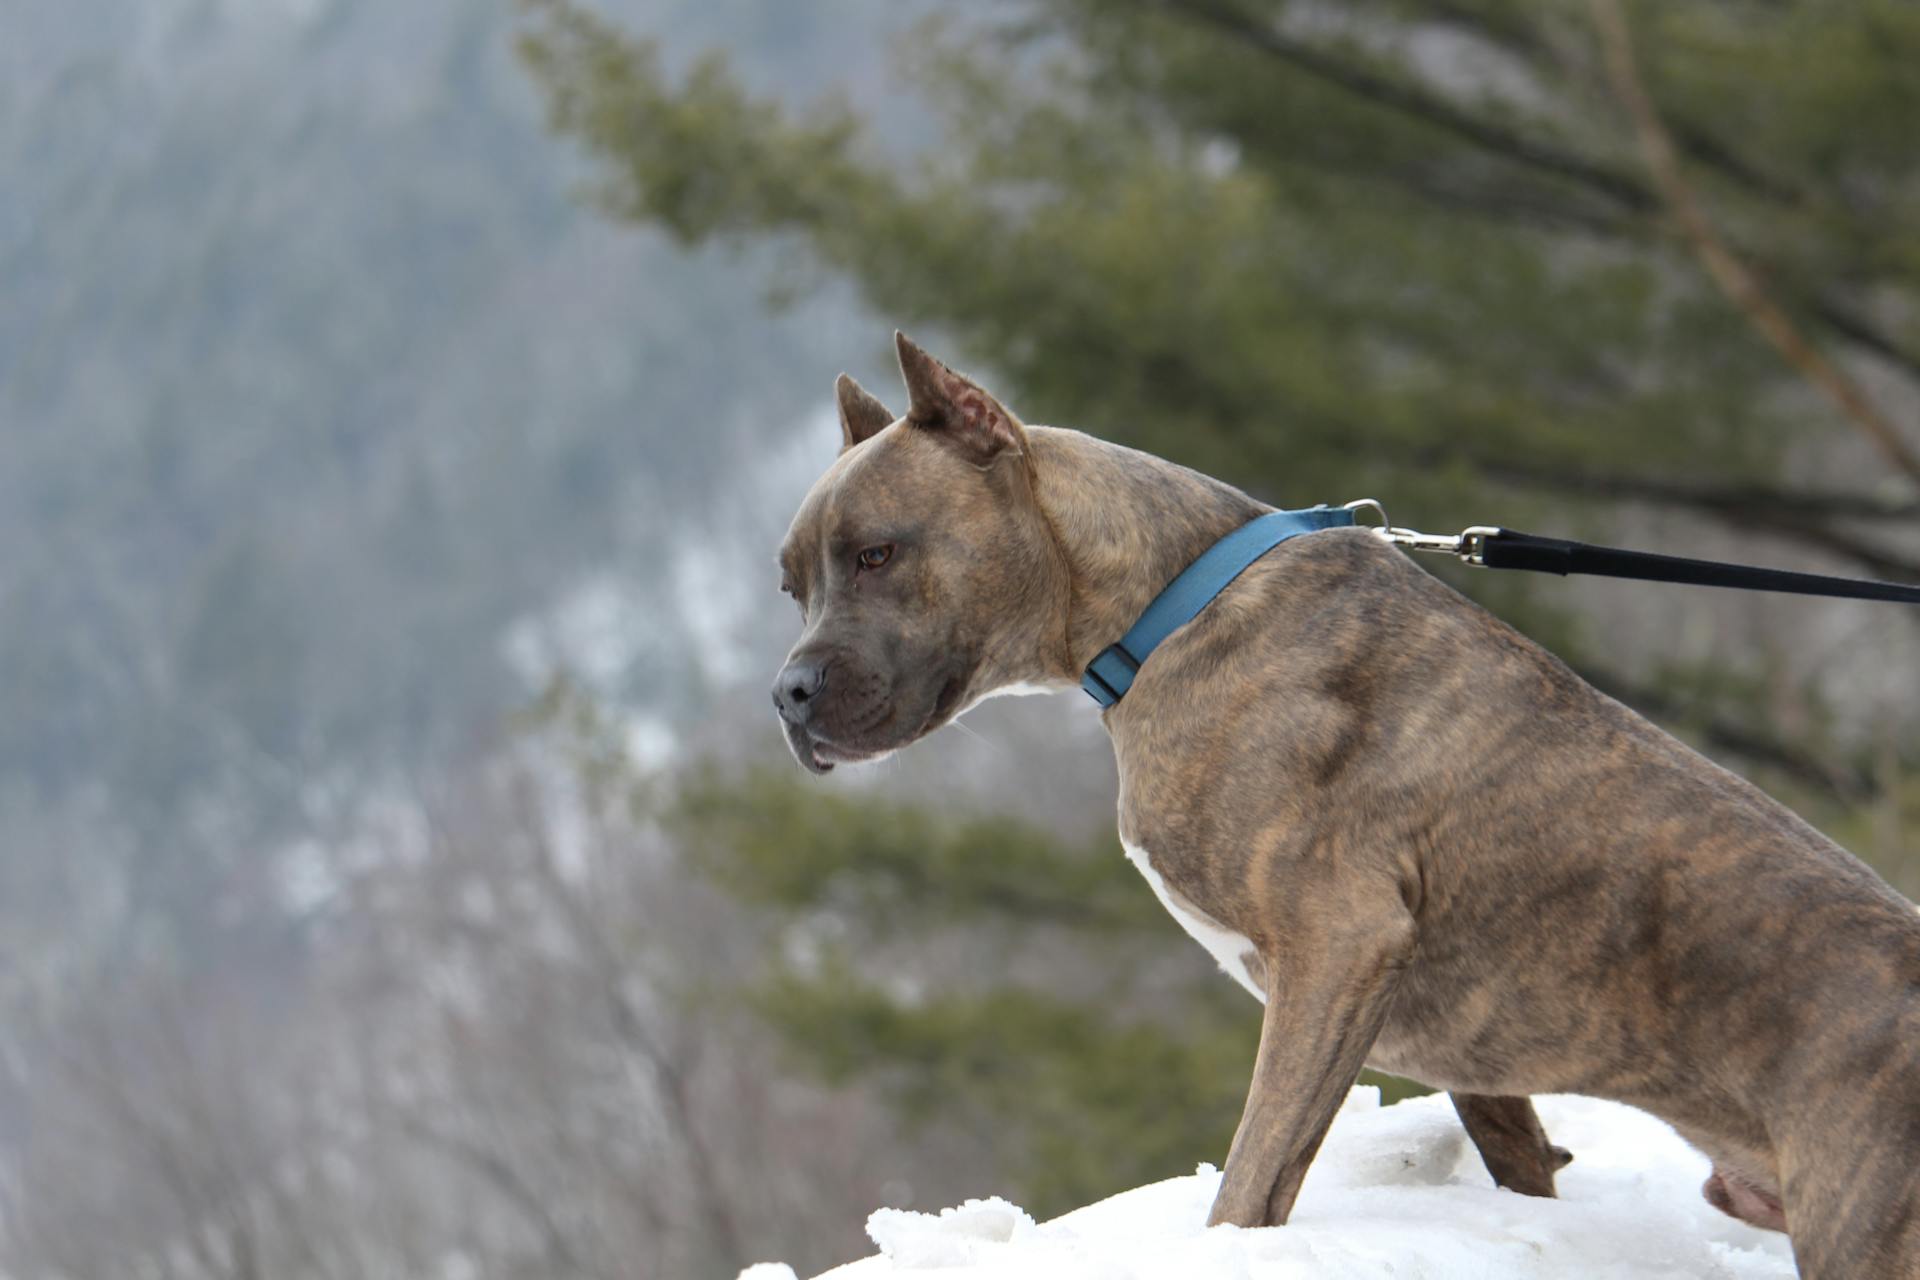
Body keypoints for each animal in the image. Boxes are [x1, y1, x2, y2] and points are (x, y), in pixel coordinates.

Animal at [768, 333, 1920, 1280]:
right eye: (791, 585)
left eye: (878, 553)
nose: (786, 694)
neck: (1168, 604)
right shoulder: (1460, 1043)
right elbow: (1519, 1156)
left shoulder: (1336, 948)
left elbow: (1253, 1179)